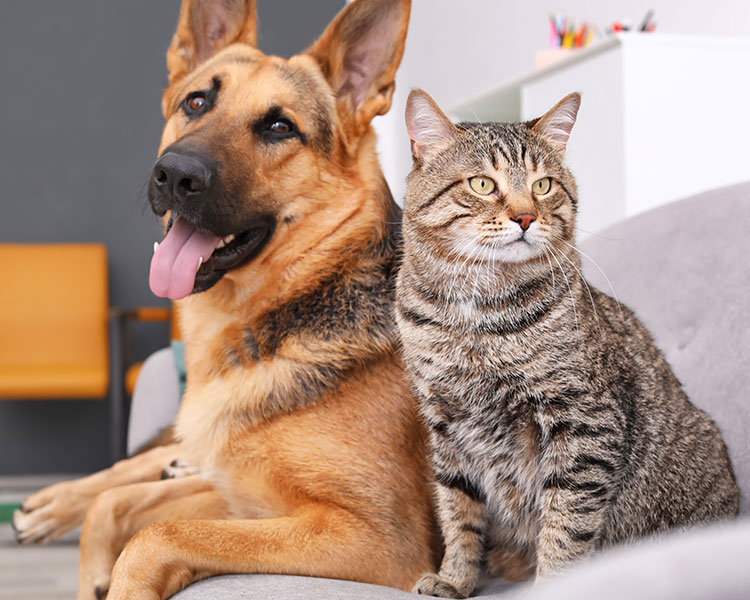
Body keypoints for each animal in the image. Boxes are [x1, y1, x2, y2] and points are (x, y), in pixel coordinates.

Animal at [11, 2, 438, 596]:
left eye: (280, 127)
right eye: (196, 102)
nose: (175, 174)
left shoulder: (379, 539)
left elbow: (154, 535)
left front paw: (113, 577)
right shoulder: (241, 494)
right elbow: (115, 506)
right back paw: (50, 504)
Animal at [396, 90, 744, 600]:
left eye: (543, 186)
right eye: (482, 184)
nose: (526, 216)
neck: (475, 317)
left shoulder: (583, 424)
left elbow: (565, 526)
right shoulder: (445, 426)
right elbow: (458, 512)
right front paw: (455, 578)